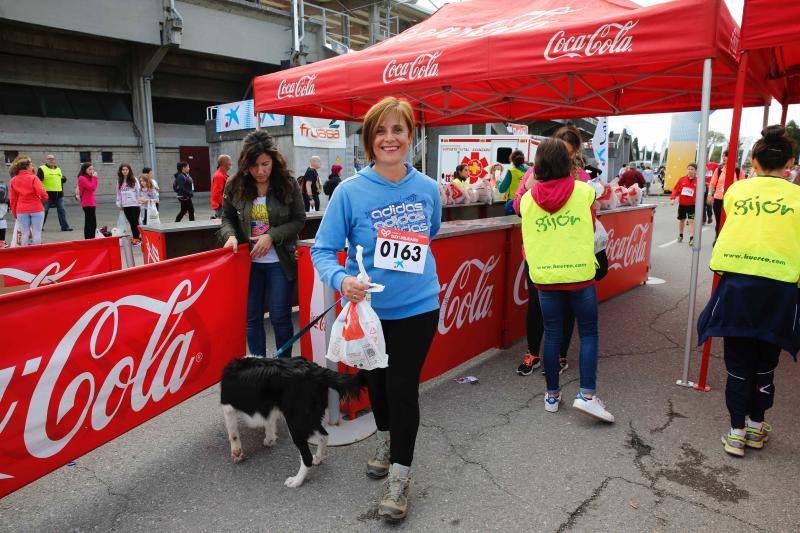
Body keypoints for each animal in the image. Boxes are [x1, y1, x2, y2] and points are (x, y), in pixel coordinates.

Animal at [222, 358, 366, 486]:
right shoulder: (269, 409)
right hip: (308, 418)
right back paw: (318, 458)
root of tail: (316, 370)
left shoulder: (228, 407)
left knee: (307, 457)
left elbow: (233, 433)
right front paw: (270, 439)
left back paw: (297, 481)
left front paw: (237, 452)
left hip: (295, 423)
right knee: (324, 436)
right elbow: (269, 423)